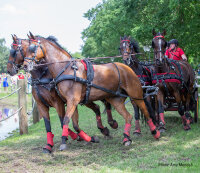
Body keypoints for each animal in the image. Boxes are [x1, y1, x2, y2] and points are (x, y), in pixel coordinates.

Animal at [23, 33, 160, 149]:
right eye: (24, 49)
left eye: (32, 47)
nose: (24, 65)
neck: (67, 69)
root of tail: (127, 67)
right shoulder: (71, 101)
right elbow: (73, 123)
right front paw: (89, 138)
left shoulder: (72, 100)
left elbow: (66, 119)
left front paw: (63, 141)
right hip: (116, 99)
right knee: (128, 116)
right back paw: (126, 138)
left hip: (136, 94)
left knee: (145, 111)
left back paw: (155, 132)